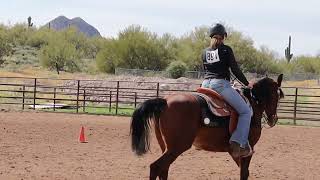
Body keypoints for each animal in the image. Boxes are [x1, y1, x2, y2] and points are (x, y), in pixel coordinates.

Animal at [130, 74, 284, 179]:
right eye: (276, 96)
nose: (273, 119)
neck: (251, 105)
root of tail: (165, 101)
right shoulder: (248, 149)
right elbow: (244, 173)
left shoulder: (235, 152)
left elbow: (242, 172)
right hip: (176, 147)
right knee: (156, 167)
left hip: (166, 147)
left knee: (163, 169)